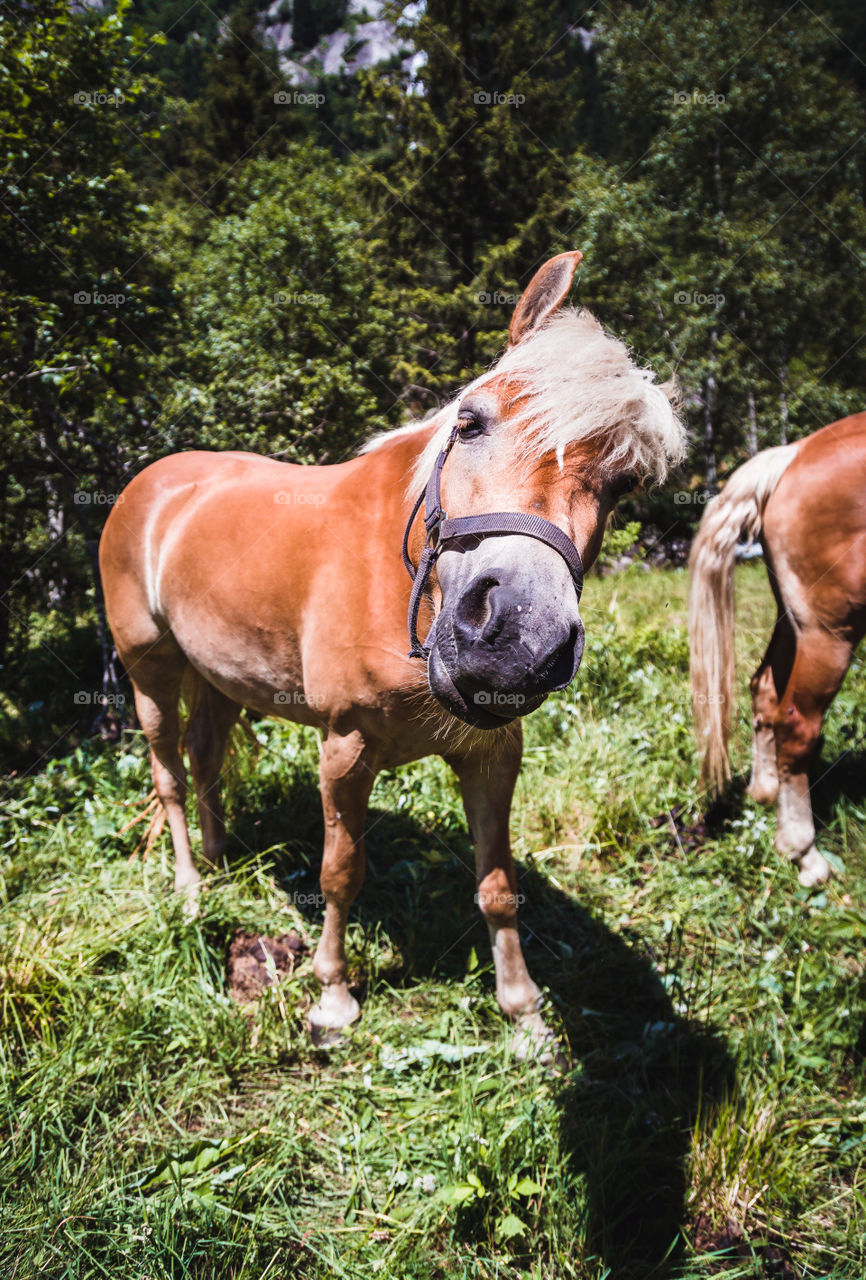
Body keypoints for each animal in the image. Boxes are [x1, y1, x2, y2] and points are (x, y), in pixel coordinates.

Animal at [101, 254, 680, 1054]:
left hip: (216, 677)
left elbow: (497, 886)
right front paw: (333, 1000)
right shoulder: (344, 747)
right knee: (168, 774)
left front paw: (524, 1014)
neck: (404, 575)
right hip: (149, 671)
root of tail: (149, 485)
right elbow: (341, 873)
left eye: (625, 483)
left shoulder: (493, 753)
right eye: (470, 421)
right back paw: (190, 890)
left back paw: (218, 865)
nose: (517, 635)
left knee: (205, 757)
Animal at [690, 414, 866, 885]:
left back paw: (765, 789)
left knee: (764, 688)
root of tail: (794, 455)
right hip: (828, 633)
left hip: (793, 621)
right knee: (796, 725)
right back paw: (803, 852)